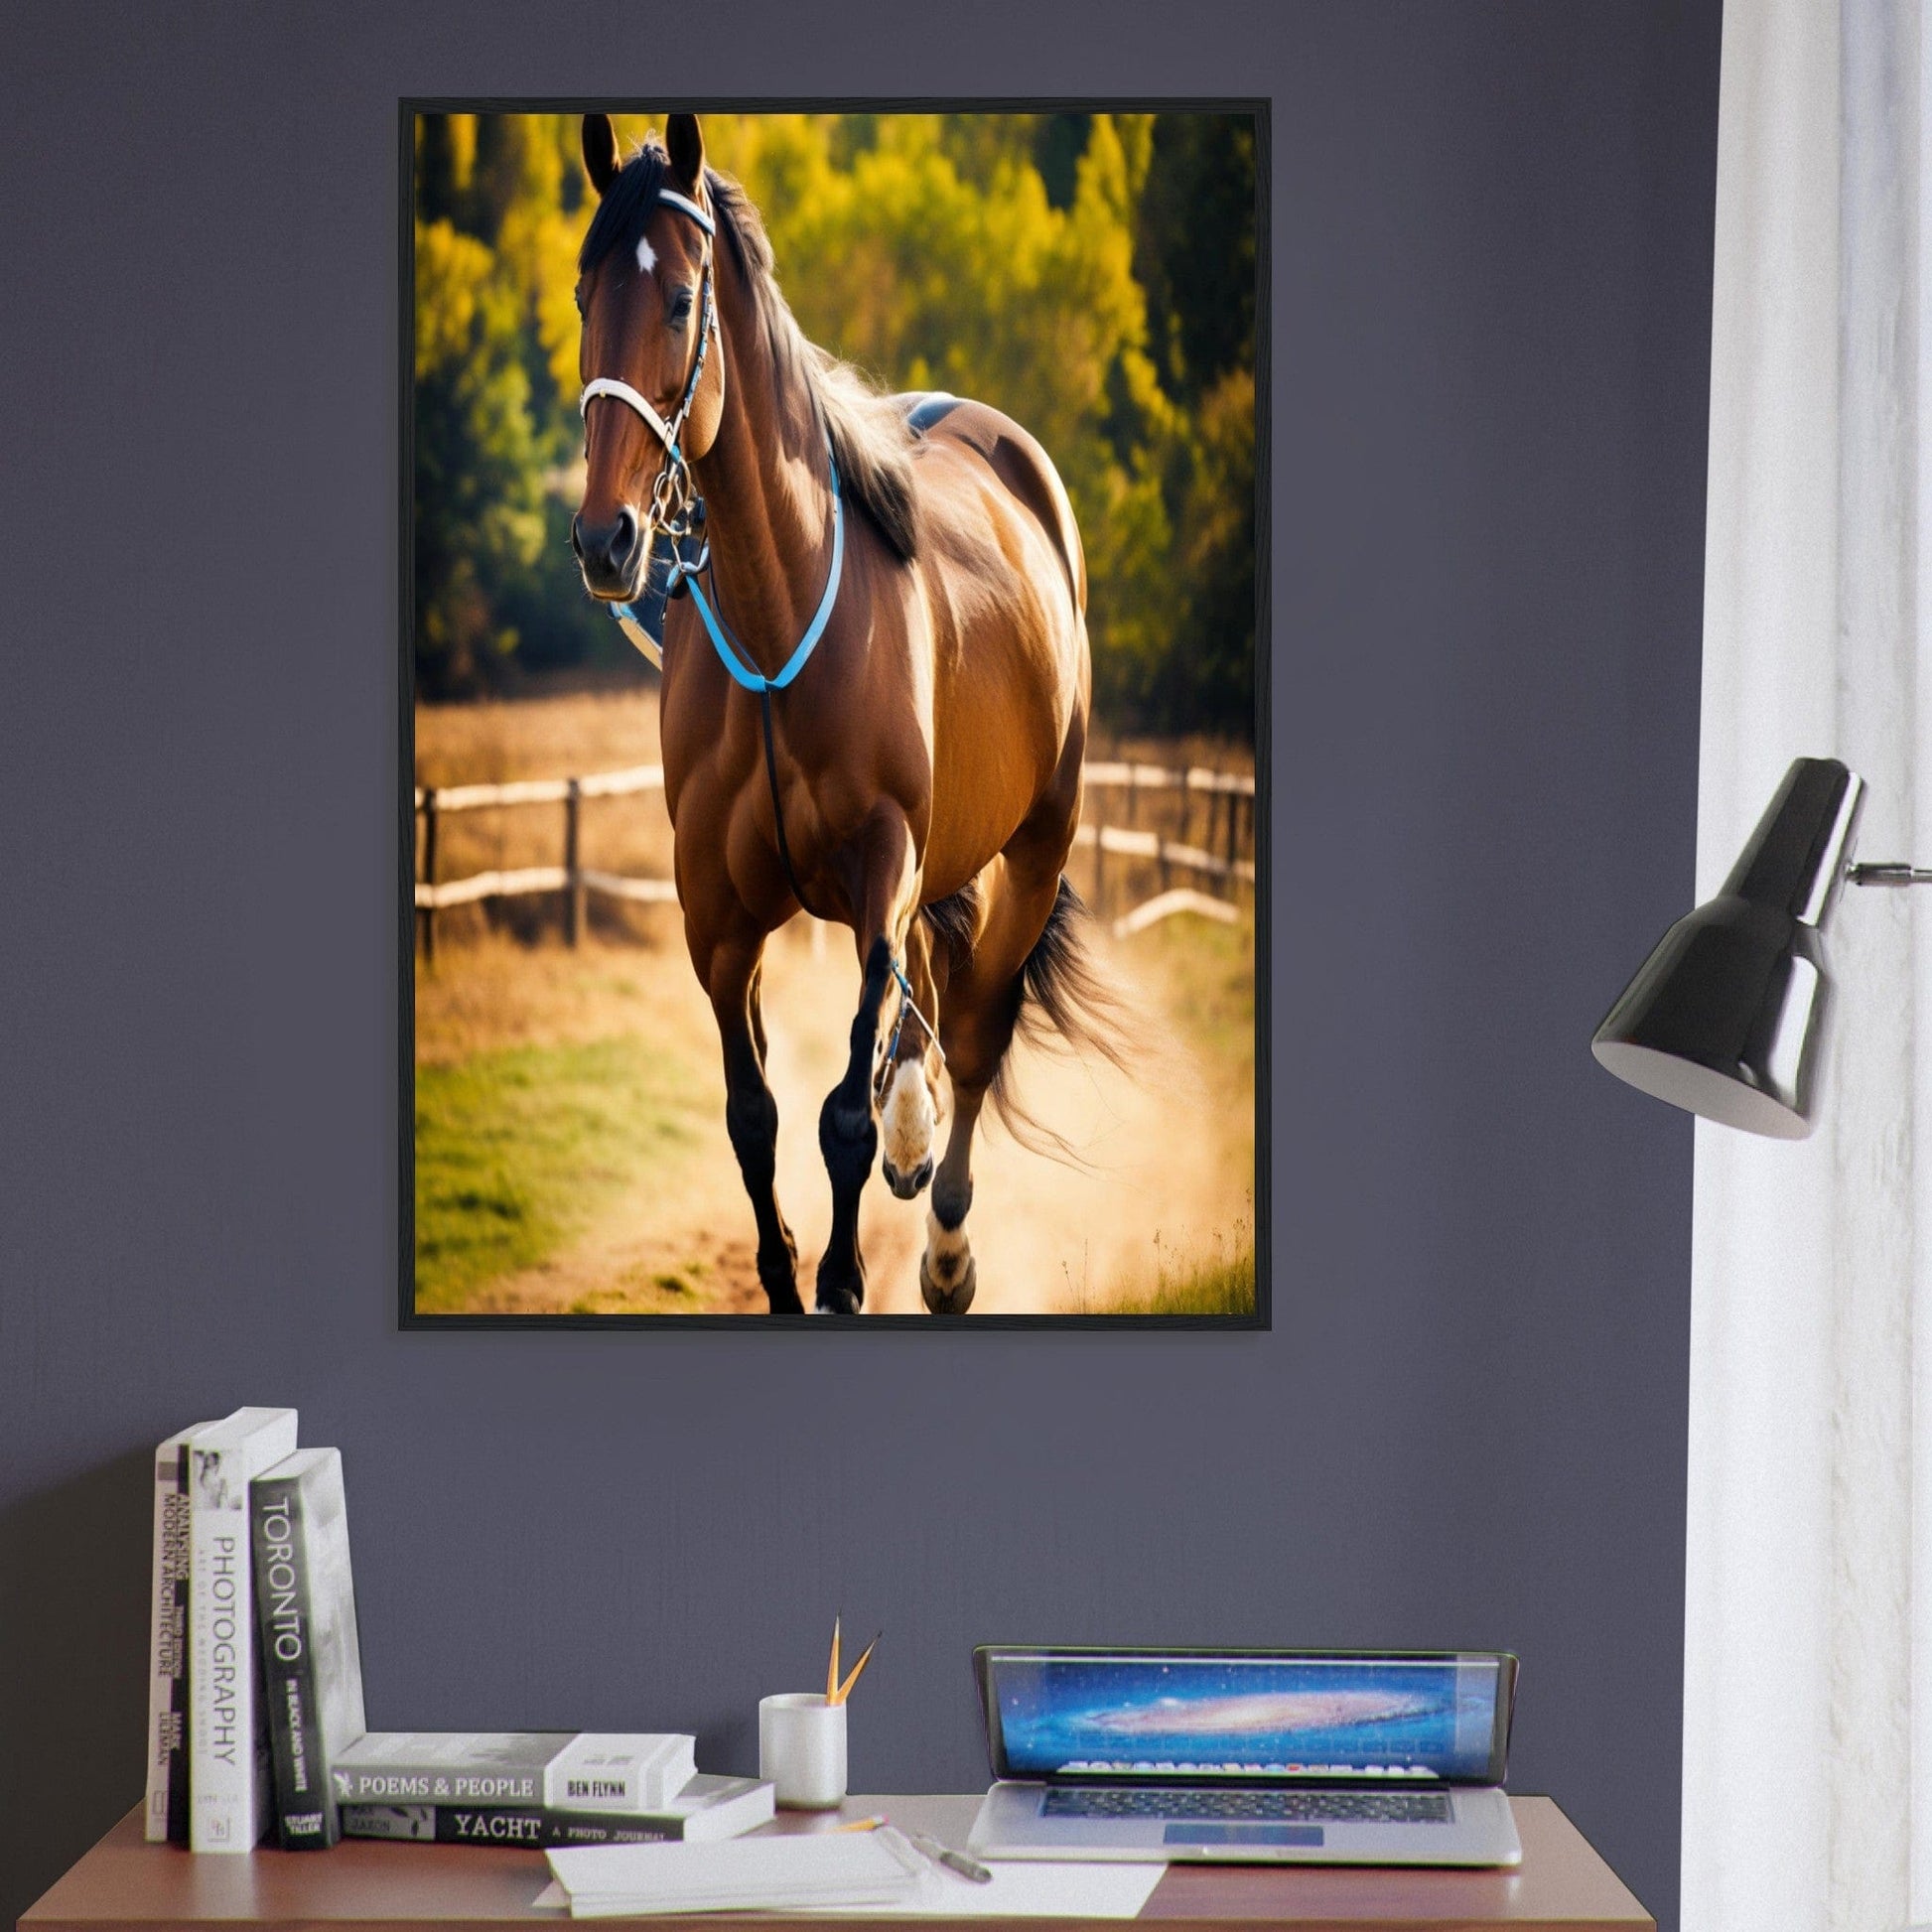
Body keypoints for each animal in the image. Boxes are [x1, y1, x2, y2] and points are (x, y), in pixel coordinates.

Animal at [569, 113, 1127, 1315]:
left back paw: (948, 1245)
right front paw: (787, 1275)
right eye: (584, 294)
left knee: (974, 1034)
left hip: (1035, 846)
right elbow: (753, 1118)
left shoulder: (881, 867)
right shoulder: (715, 912)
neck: (781, 629)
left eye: (678, 300)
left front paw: (843, 1274)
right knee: (929, 1002)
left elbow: (838, 1120)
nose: (606, 540)